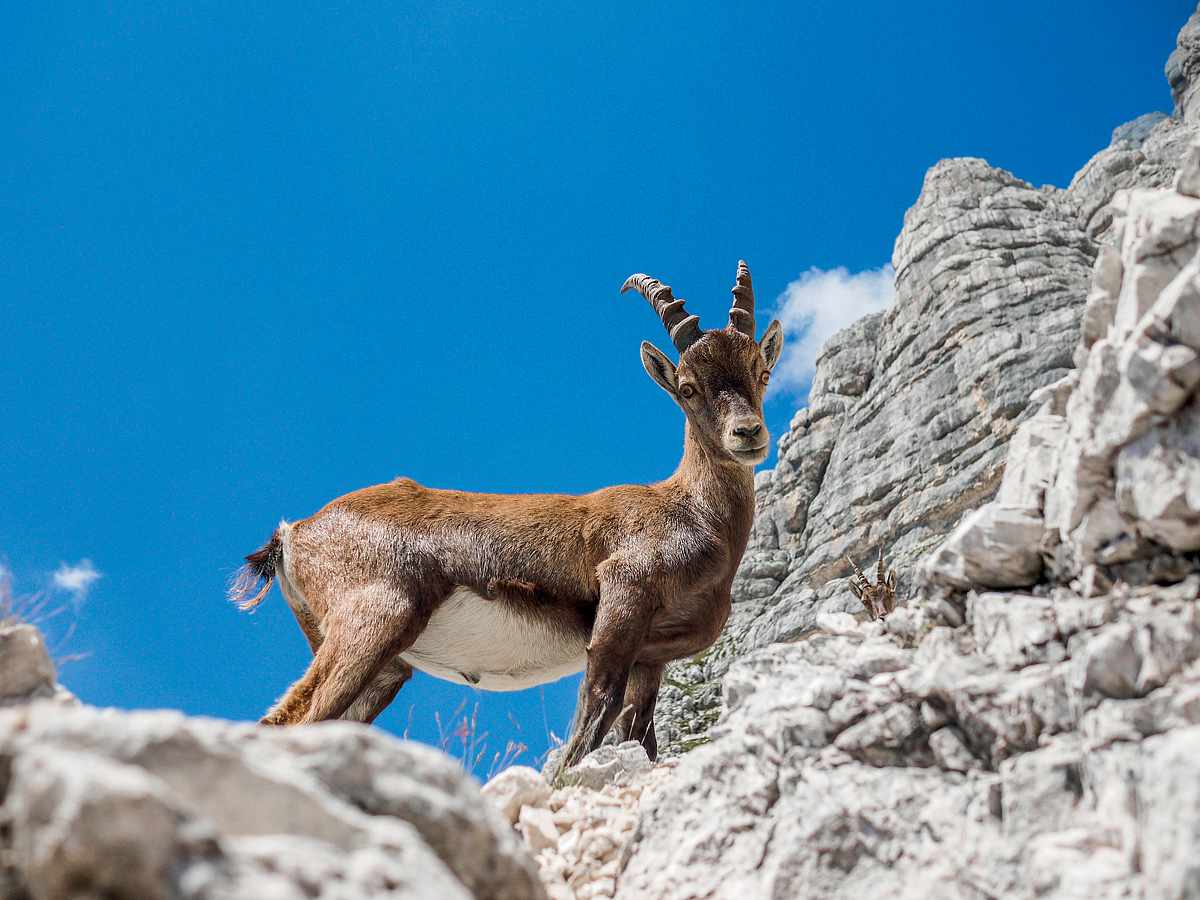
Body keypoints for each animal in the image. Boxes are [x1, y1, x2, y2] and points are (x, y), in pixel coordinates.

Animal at [230, 261, 784, 771]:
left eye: (761, 371)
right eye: (688, 387)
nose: (747, 434)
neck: (695, 513)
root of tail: (295, 533)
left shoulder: (651, 656)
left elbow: (639, 735)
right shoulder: (624, 597)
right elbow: (594, 710)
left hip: (381, 666)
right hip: (374, 618)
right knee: (288, 719)